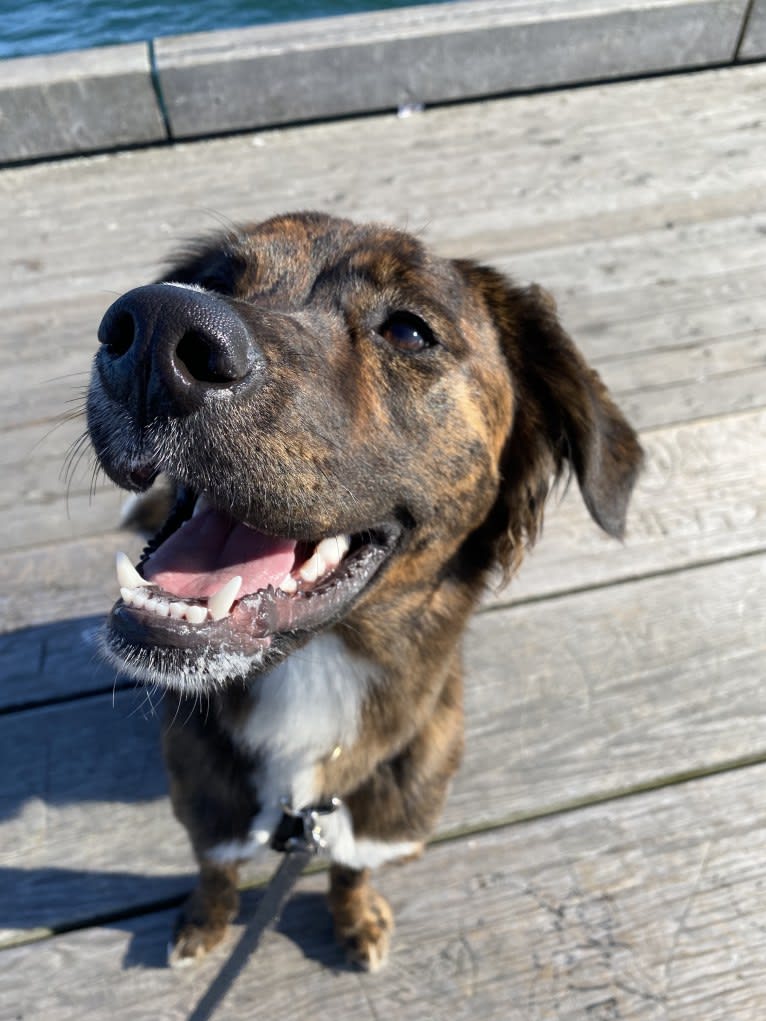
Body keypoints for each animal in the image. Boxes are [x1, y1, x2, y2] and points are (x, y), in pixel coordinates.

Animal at [86, 211, 645, 967]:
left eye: (408, 331)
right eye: (213, 281)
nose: (153, 328)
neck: (315, 675)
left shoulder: (380, 823)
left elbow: (350, 870)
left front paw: (354, 918)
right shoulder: (207, 808)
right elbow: (216, 868)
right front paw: (205, 919)